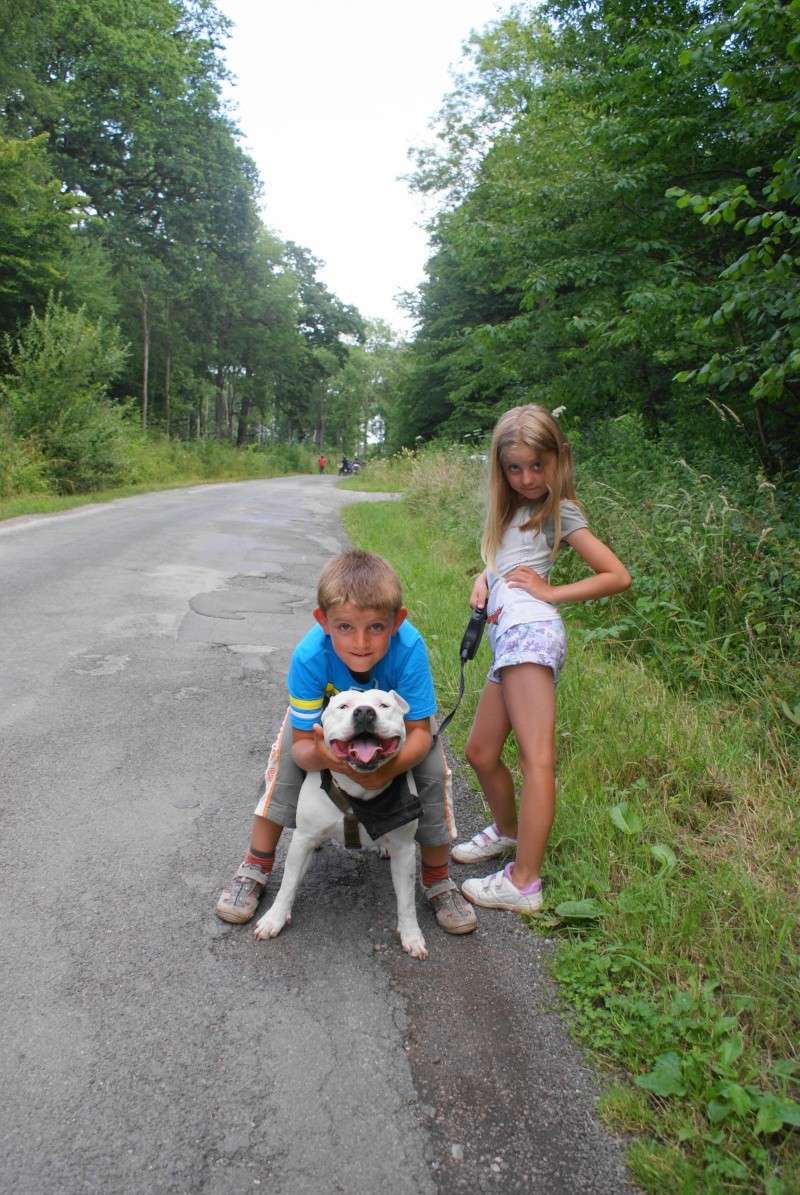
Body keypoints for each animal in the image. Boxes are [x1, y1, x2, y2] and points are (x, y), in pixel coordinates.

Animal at [255, 688, 430, 956]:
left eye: (384, 705)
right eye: (344, 706)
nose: (365, 711)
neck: (358, 793)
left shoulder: (405, 850)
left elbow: (407, 899)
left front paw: (411, 934)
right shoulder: (302, 839)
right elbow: (288, 883)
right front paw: (274, 919)